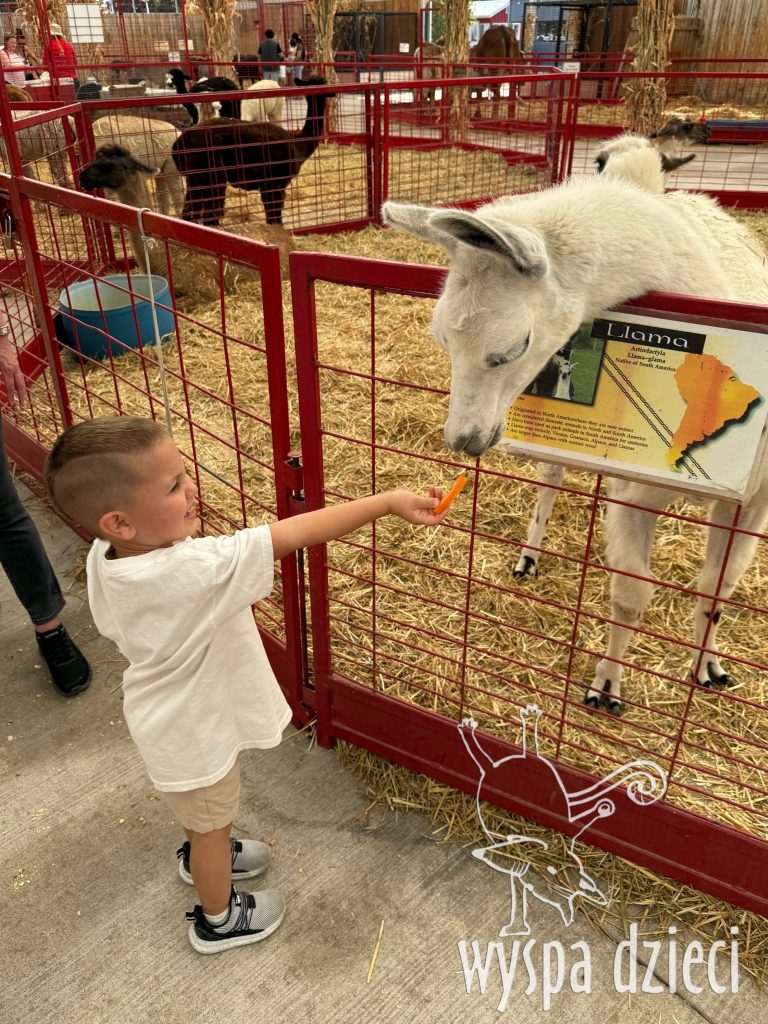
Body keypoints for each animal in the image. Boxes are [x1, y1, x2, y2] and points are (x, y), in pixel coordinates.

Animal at [171, 76, 331, 227]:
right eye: (322, 83)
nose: (331, 92)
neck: (299, 145)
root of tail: (180, 142)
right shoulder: (276, 182)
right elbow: (275, 215)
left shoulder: (268, 184)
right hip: (211, 172)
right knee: (210, 214)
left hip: (195, 177)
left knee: (189, 212)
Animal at [382, 145, 768, 718]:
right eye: (442, 341)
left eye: (515, 346)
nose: (464, 438)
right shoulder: (635, 491)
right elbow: (631, 596)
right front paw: (605, 688)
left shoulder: (752, 501)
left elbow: (716, 591)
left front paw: (709, 669)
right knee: (551, 477)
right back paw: (528, 556)